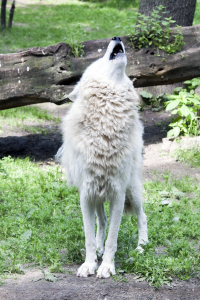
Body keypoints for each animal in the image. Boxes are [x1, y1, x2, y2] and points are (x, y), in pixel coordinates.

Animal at [60, 37, 148, 278]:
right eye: (98, 60)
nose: (116, 37)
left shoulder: (118, 194)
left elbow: (113, 239)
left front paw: (107, 266)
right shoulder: (86, 194)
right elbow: (90, 236)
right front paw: (90, 263)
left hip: (132, 190)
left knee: (142, 216)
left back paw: (141, 246)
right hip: (98, 194)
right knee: (102, 220)